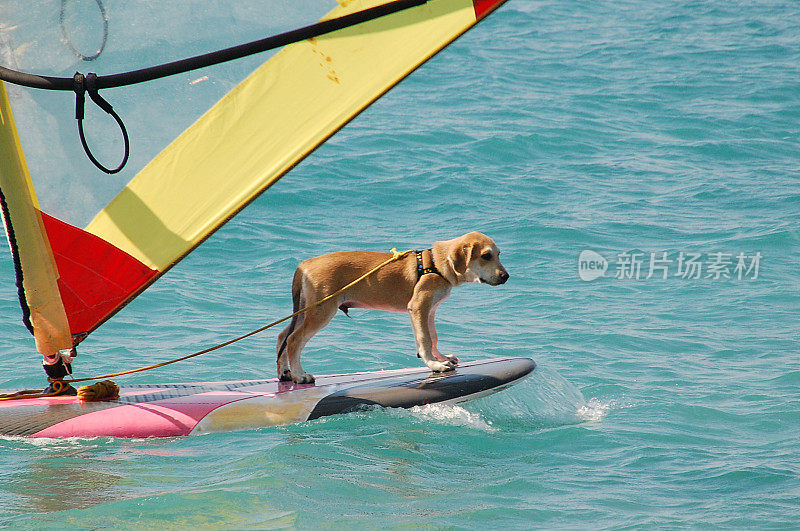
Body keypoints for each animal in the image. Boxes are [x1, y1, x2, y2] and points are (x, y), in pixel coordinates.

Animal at [278, 232, 510, 382]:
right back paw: (300, 375)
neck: (436, 264)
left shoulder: (430, 310)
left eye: (499, 254)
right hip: (321, 311)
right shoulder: (419, 306)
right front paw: (434, 365)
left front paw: (441, 358)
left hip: (305, 310)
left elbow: (433, 337)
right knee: (294, 340)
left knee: (283, 336)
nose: (506, 276)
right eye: (486, 256)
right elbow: (425, 339)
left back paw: (285, 373)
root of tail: (304, 265)